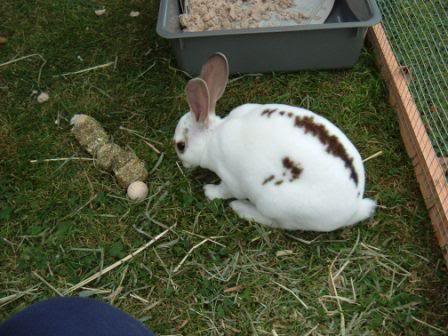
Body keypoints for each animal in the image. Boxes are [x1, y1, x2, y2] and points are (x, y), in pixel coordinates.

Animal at [173, 53, 376, 232]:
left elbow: (224, 191)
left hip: (272, 202)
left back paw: (240, 208)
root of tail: (354, 208)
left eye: (181, 146)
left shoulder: (231, 180)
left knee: (278, 223)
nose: (183, 164)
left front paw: (209, 191)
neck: (212, 137)